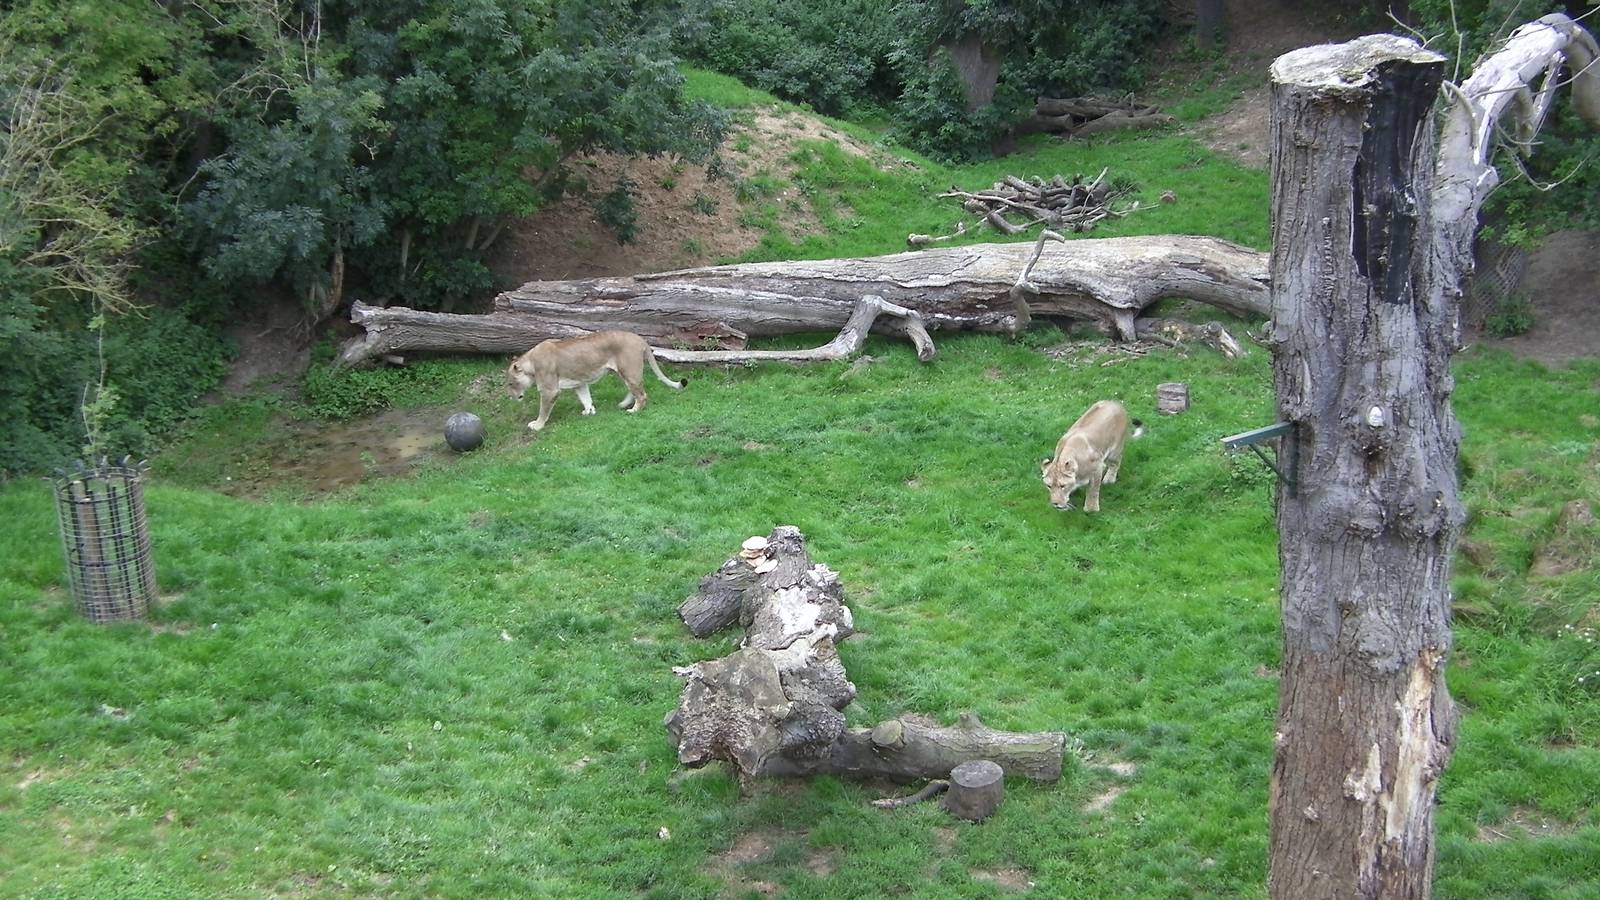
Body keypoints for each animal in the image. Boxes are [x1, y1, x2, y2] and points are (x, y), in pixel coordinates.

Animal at [507, 331, 686, 432]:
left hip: (629, 370)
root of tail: (641, 339)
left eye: (510, 383)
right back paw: (623, 404)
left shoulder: (549, 390)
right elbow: (586, 398)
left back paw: (633, 410)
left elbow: (543, 411)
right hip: (625, 372)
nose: (510, 397)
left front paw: (537, 425)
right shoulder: (579, 383)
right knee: (634, 390)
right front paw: (589, 412)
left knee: (642, 394)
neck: (530, 363)